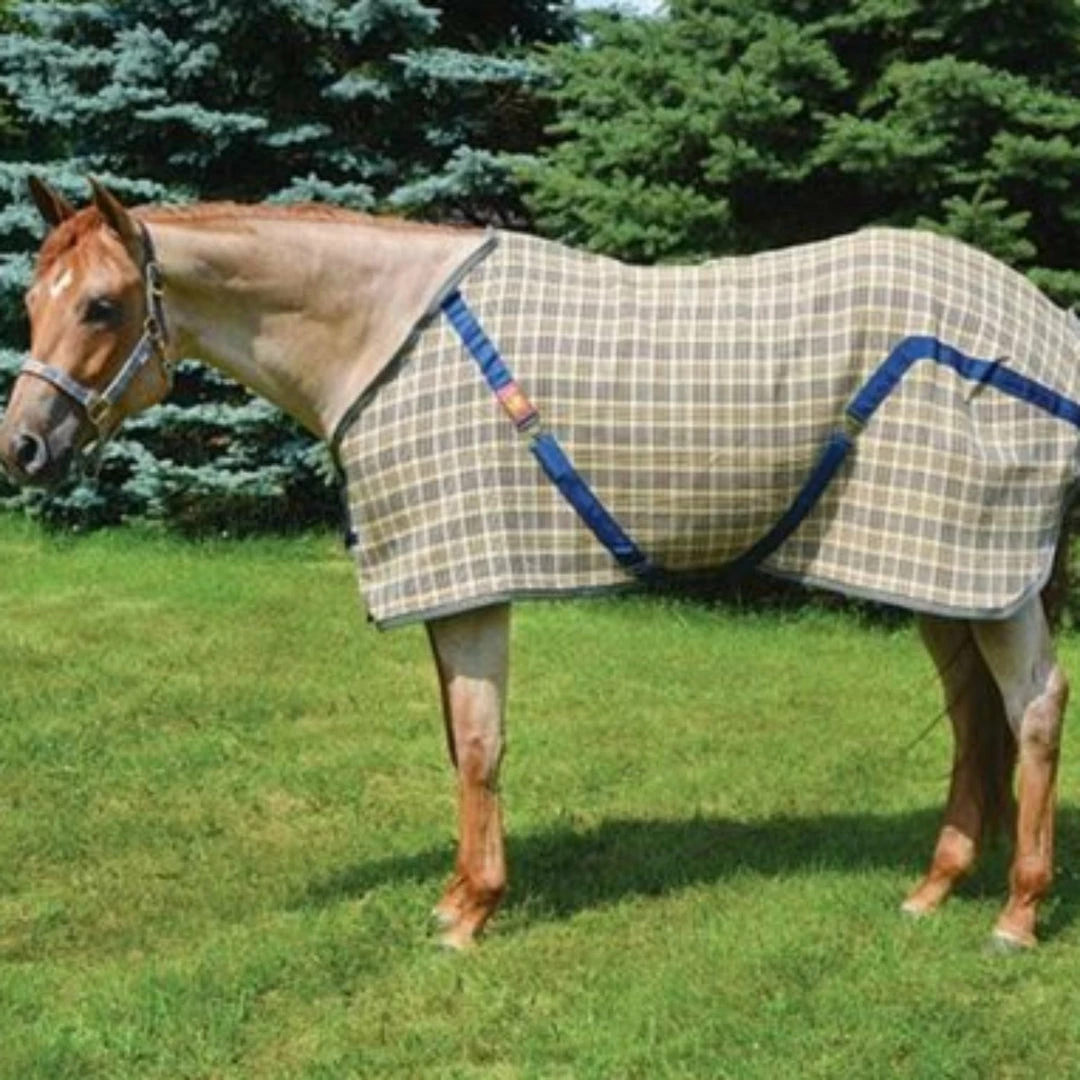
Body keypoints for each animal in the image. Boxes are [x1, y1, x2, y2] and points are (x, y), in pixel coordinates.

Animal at [0, 177, 1072, 951]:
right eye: (32, 299)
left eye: (102, 306)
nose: (22, 448)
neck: (381, 338)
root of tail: (1048, 326)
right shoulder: (448, 585)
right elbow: (457, 742)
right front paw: (455, 895)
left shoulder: (471, 583)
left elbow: (480, 744)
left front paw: (470, 913)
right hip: (939, 570)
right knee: (974, 712)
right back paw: (933, 889)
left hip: (986, 572)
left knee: (1035, 708)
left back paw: (1016, 914)